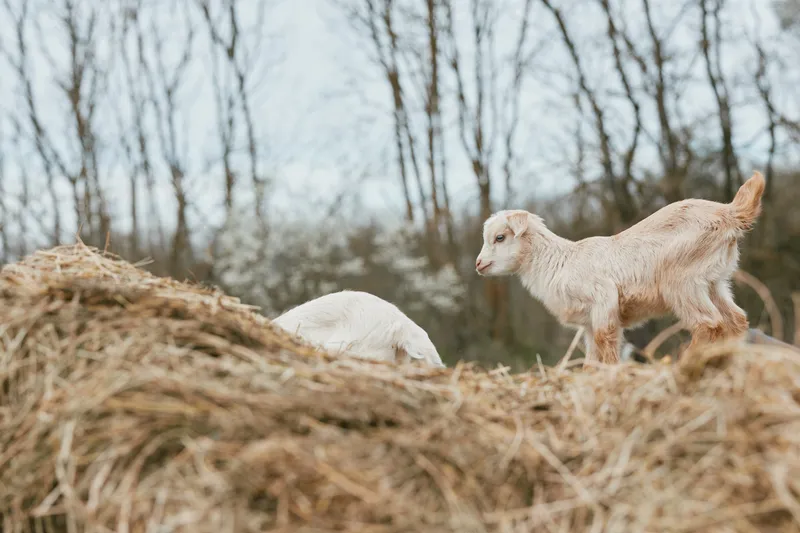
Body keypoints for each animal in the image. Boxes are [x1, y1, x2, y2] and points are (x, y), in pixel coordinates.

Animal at [475, 171, 765, 365]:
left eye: (499, 237)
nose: (479, 264)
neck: (560, 261)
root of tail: (730, 214)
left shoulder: (603, 300)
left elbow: (607, 343)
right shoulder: (587, 322)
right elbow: (592, 358)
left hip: (682, 281)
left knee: (709, 324)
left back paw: (686, 362)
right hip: (716, 281)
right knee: (736, 320)